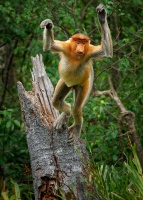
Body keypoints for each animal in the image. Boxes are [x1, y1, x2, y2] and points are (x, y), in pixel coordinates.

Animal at [40, 3, 113, 145]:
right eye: (78, 42)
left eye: (84, 43)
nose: (80, 48)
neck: (75, 54)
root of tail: (72, 85)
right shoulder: (65, 46)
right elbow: (50, 46)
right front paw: (48, 24)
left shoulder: (89, 51)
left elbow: (106, 51)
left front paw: (102, 17)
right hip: (65, 83)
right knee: (56, 100)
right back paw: (66, 111)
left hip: (82, 85)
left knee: (77, 108)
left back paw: (74, 123)